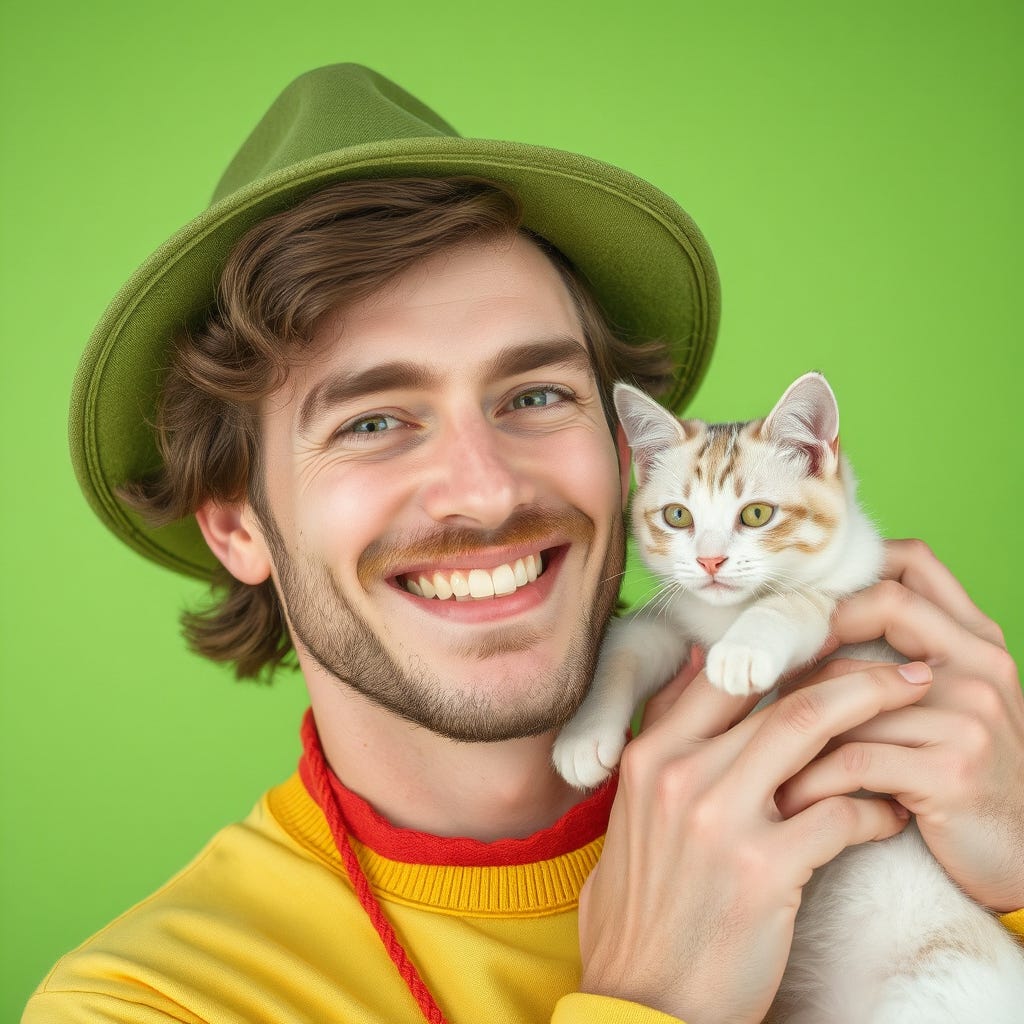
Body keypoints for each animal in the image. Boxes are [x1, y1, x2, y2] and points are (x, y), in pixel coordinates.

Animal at [557, 374, 1024, 1024]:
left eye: (757, 514)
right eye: (677, 516)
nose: (709, 560)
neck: (720, 616)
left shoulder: (853, 604)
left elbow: (793, 603)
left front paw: (744, 650)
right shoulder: (679, 620)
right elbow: (627, 641)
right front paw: (583, 737)